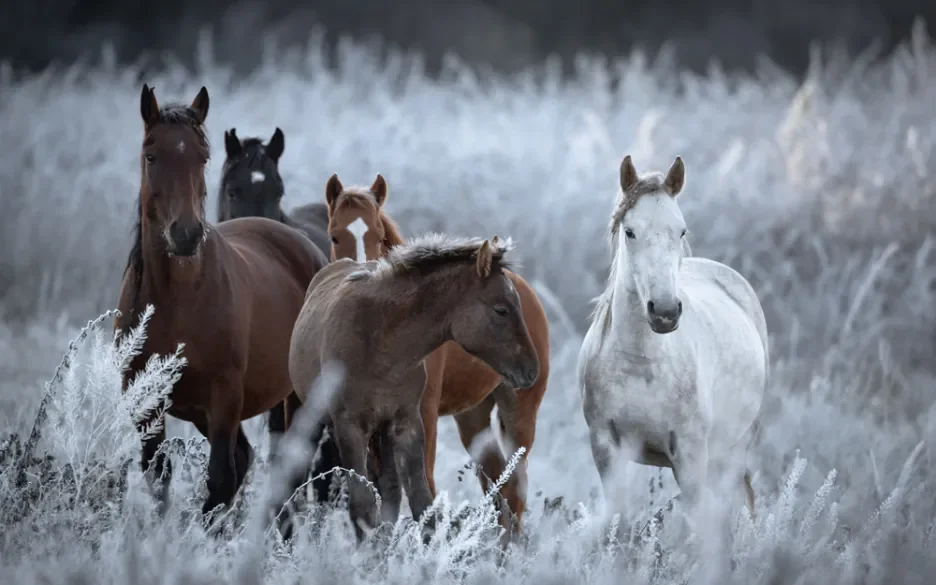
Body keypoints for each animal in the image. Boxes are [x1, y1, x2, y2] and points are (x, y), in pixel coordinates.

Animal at [114, 84, 330, 516]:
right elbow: (159, 478)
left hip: (296, 397)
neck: (175, 300)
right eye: (151, 155)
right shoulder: (147, 403)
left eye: (203, 156)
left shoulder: (225, 399)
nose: (185, 234)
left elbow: (218, 481)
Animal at [288, 232, 540, 540]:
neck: (381, 342)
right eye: (501, 310)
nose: (531, 370)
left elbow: (421, 504)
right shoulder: (350, 427)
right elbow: (362, 506)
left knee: (391, 491)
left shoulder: (406, 422)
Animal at [322, 175, 552, 532]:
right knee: (498, 483)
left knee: (515, 488)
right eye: (335, 234)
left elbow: (424, 484)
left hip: (519, 413)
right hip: (473, 415)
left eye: (378, 234)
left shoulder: (422, 413)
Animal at [576, 155, 768, 520]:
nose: (664, 312)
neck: (640, 363)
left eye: (681, 230)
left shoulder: (690, 456)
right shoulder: (606, 449)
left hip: (733, 450)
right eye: (630, 231)